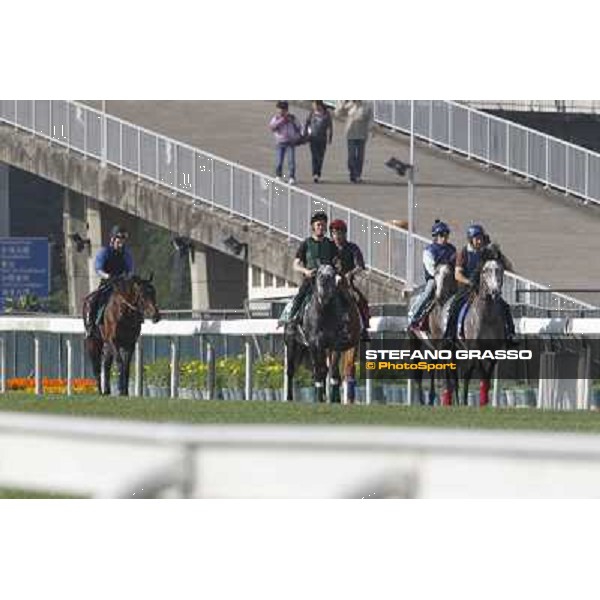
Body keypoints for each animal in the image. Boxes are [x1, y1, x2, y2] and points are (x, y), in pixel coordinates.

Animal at [286, 264, 360, 400]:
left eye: (332, 275)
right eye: (319, 274)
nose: (324, 288)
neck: (325, 315)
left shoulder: (336, 344)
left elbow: (334, 372)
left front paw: (335, 398)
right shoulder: (314, 344)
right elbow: (318, 372)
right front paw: (319, 397)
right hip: (293, 344)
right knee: (290, 370)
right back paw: (289, 398)